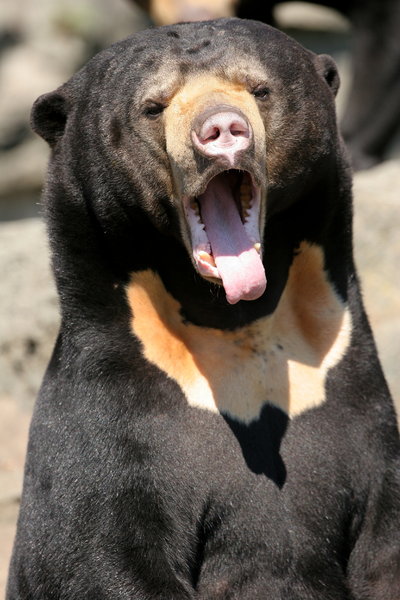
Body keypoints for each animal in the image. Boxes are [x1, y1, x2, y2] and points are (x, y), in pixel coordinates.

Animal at [6, 18, 400, 600]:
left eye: (260, 90)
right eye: (153, 106)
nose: (222, 130)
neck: (235, 326)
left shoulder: (361, 415)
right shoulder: (106, 433)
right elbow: (99, 554)